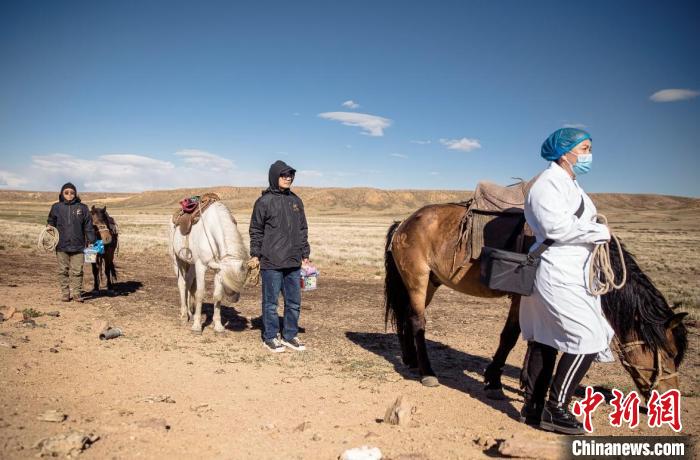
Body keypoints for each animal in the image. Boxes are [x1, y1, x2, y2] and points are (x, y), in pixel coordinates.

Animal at [169, 202, 250, 334]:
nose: (235, 298)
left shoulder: (218, 269)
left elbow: (217, 295)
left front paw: (218, 326)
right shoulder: (200, 266)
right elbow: (200, 293)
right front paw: (197, 326)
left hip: (191, 264)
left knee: (188, 282)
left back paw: (190, 313)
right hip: (177, 261)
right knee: (182, 283)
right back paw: (184, 315)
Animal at [388, 201, 688, 398]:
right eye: (670, 353)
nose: (669, 395)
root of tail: (404, 223)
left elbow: (534, 338)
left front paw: (521, 381)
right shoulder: (523, 298)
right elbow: (511, 336)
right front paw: (495, 380)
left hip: (429, 283)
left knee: (408, 317)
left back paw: (411, 359)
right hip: (417, 280)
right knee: (418, 322)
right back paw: (427, 372)